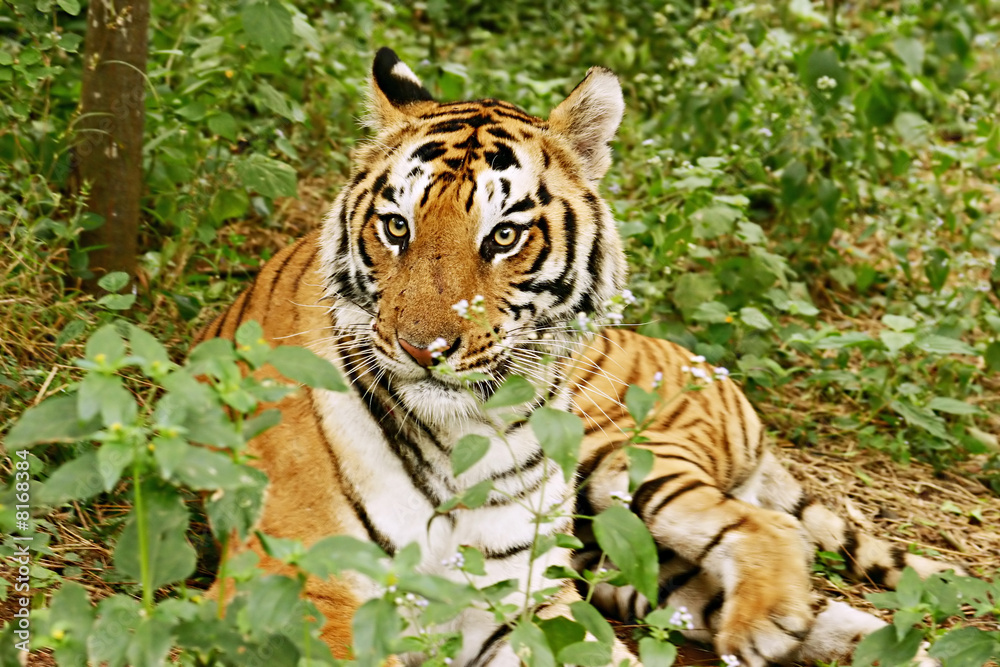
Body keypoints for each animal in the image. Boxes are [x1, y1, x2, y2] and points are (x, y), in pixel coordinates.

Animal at [197, 47, 963, 666]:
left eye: (504, 236)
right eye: (395, 227)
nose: (423, 348)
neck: (458, 443)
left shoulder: (524, 602)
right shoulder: (301, 586)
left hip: (626, 460)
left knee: (771, 527)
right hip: (641, 567)